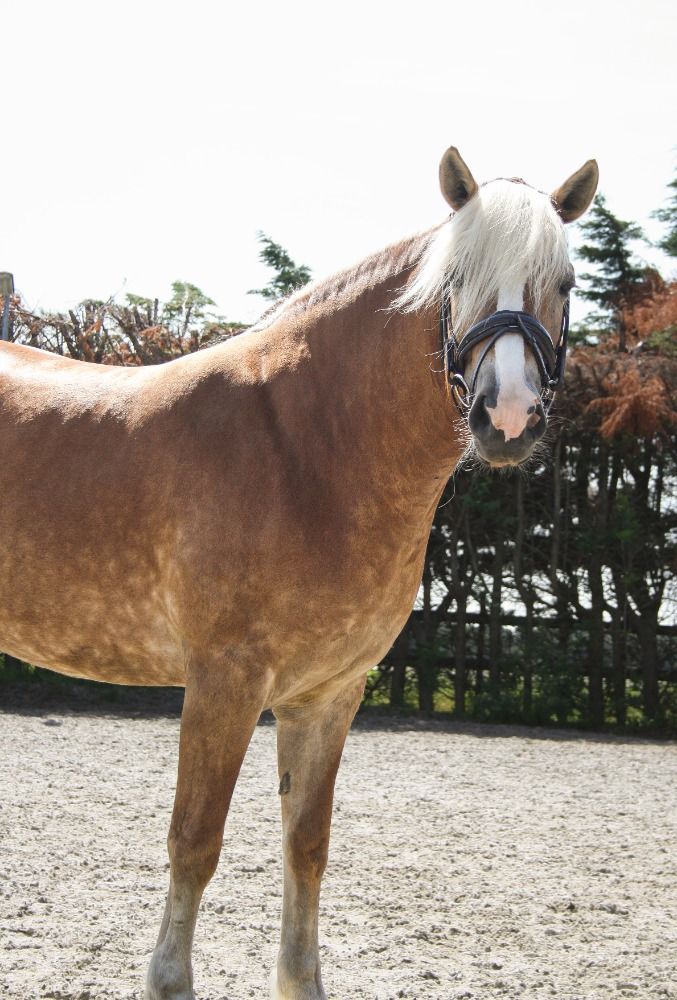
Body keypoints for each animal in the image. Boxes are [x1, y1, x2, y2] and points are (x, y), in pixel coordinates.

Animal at [0, 146, 598, 999]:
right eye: (456, 277)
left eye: (565, 282)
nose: (507, 417)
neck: (305, 446)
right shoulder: (224, 683)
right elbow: (195, 841)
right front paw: (169, 980)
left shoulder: (327, 695)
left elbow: (306, 846)